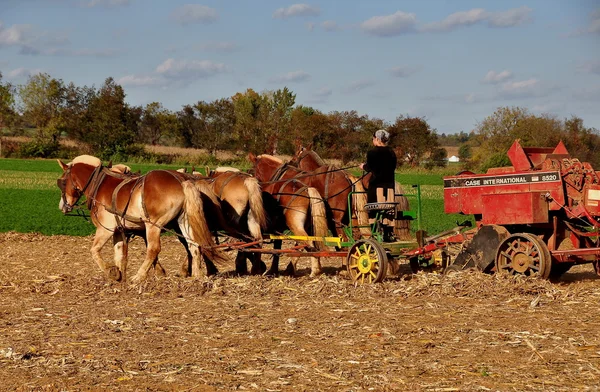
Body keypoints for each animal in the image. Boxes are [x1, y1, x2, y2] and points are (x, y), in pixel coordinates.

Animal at [56, 155, 231, 284]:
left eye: (62, 182)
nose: (62, 207)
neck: (100, 185)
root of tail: (182, 181)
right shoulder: (119, 231)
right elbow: (119, 254)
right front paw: (120, 275)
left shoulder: (105, 229)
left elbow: (94, 251)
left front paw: (112, 272)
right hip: (184, 221)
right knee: (193, 245)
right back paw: (197, 276)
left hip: (153, 225)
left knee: (154, 249)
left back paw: (139, 276)